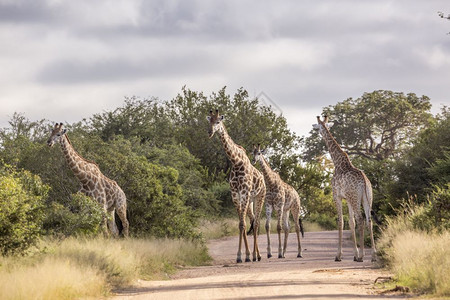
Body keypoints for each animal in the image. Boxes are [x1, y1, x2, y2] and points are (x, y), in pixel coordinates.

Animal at [207, 110, 266, 262]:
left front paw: (245, 256)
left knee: (257, 222)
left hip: (259, 197)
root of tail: (263, 179)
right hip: (251, 200)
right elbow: (241, 224)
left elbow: (242, 224)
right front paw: (241, 256)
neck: (236, 162)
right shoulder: (235, 193)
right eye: (209, 121)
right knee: (252, 220)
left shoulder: (244, 192)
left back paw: (259, 255)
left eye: (218, 122)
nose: (209, 132)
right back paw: (255, 255)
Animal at [314, 116, 378, 262]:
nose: (316, 131)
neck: (337, 163)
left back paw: (362, 256)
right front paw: (354, 254)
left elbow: (341, 222)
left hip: (355, 198)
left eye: (318, 126)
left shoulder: (336, 196)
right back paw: (373, 255)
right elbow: (351, 222)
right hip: (366, 198)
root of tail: (364, 181)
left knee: (361, 219)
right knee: (369, 220)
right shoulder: (347, 198)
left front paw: (339, 255)